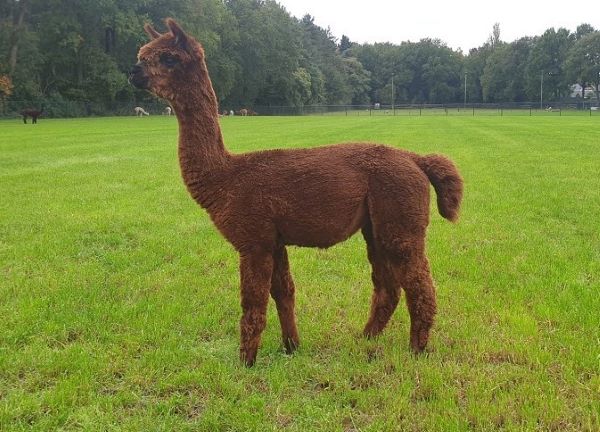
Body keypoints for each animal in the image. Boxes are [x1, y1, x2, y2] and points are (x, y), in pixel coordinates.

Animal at [129, 19, 463, 366]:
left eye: (169, 58)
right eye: (142, 54)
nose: (133, 72)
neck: (226, 176)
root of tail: (415, 158)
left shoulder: (254, 241)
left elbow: (253, 304)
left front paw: (246, 363)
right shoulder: (274, 239)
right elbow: (284, 292)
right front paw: (291, 346)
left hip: (400, 221)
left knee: (419, 285)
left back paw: (417, 349)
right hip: (376, 226)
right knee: (387, 286)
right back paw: (365, 338)